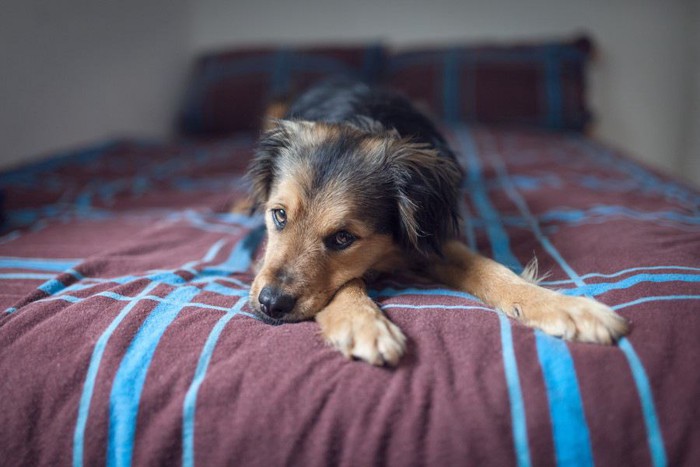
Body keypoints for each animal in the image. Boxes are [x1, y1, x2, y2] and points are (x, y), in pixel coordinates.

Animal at [242, 79, 628, 366]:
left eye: (342, 238)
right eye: (279, 215)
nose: (271, 304)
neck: (362, 118)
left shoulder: (429, 237)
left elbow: (492, 270)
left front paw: (566, 307)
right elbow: (349, 282)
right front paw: (363, 322)